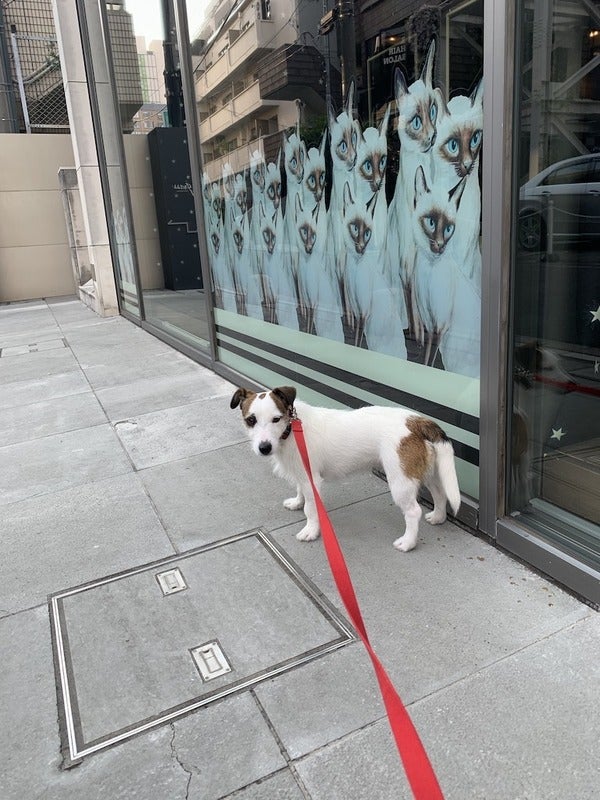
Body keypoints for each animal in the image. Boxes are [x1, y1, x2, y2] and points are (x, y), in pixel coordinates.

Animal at [230, 385, 461, 551]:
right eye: (251, 420)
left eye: (276, 419)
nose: (264, 448)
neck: (291, 430)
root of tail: (416, 420)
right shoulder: (302, 475)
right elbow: (300, 493)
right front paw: (297, 502)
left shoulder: (311, 480)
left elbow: (311, 509)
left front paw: (311, 530)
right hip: (424, 470)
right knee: (440, 494)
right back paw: (438, 517)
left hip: (400, 481)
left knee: (413, 511)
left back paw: (408, 542)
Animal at [411, 165, 480, 377]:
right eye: (431, 223)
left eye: (449, 229)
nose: (440, 245)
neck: (428, 271)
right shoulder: (428, 323)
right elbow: (426, 359)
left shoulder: (439, 326)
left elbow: (429, 361)